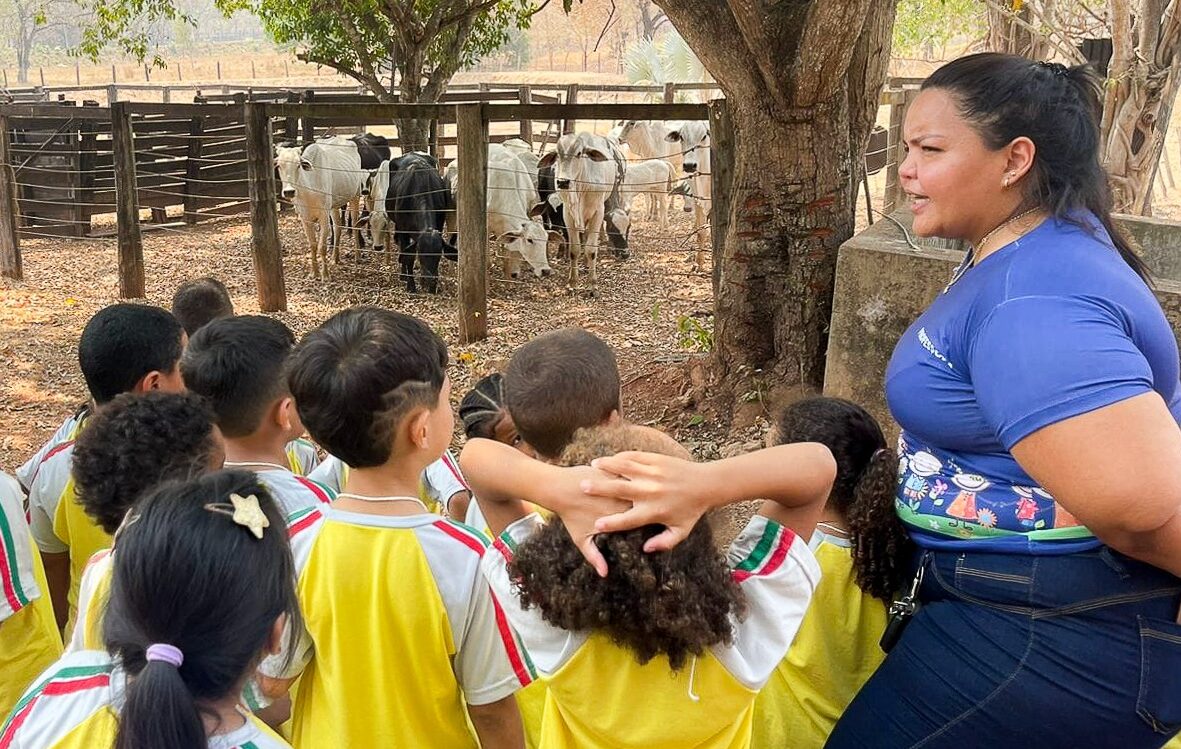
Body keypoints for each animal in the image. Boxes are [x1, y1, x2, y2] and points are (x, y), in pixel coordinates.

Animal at [275, 135, 363, 278]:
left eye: (298, 165)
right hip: (333, 206)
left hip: (355, 196)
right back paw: (334, 258)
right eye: (279, 165)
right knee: (338, 227)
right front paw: (314, 273)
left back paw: (358, 256)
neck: (309, 190)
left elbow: (322, 246)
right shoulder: (305, 218)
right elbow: (313, 245)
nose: (289, 192)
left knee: (355, 225)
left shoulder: (323, 216)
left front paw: (325, 274)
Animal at [538, 131, 623, 285]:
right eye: (557, 154)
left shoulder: (598, 213)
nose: (563, 182)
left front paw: (592, 282)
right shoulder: (567, 214)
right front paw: (573, 280)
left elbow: (591, 249)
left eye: (578, 153)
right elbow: (574, 249)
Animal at [666, 124, 708, 269]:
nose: (689, 165)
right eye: (681, 137)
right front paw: (699, 262)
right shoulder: (699, 200)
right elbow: (702, 232)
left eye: (704, 136)